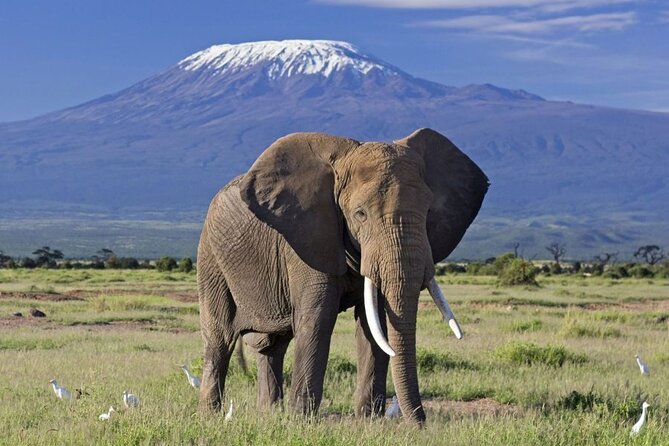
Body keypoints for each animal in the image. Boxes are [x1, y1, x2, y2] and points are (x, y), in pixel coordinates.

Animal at [197, 128, 488, 425]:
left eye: (428, 211)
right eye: (360, 214)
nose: (420, 424)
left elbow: (374, 324)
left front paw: (369, 421)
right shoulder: (308, 240)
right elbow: (318, 320)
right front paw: (302, 421)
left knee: (273, 345)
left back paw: (270, 414)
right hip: (210, 257)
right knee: (220, 338)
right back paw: (211, 416)